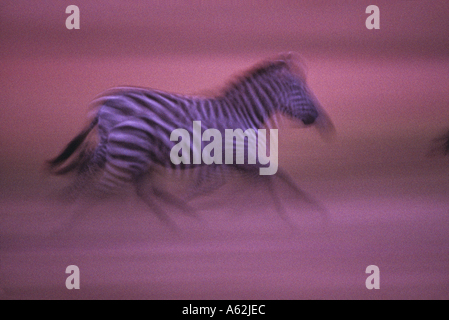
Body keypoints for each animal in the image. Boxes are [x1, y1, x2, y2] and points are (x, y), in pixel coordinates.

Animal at [49, 53, 334, 231]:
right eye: (300, 90)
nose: (322, 122)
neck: (240, 111)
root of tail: (103, 104)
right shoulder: (235, 153)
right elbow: (271, 176)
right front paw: (302, 215)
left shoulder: (230, 158)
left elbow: (257, 180)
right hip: (121, 147)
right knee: (97, 172)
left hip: (121, 148)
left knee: (106, 172)